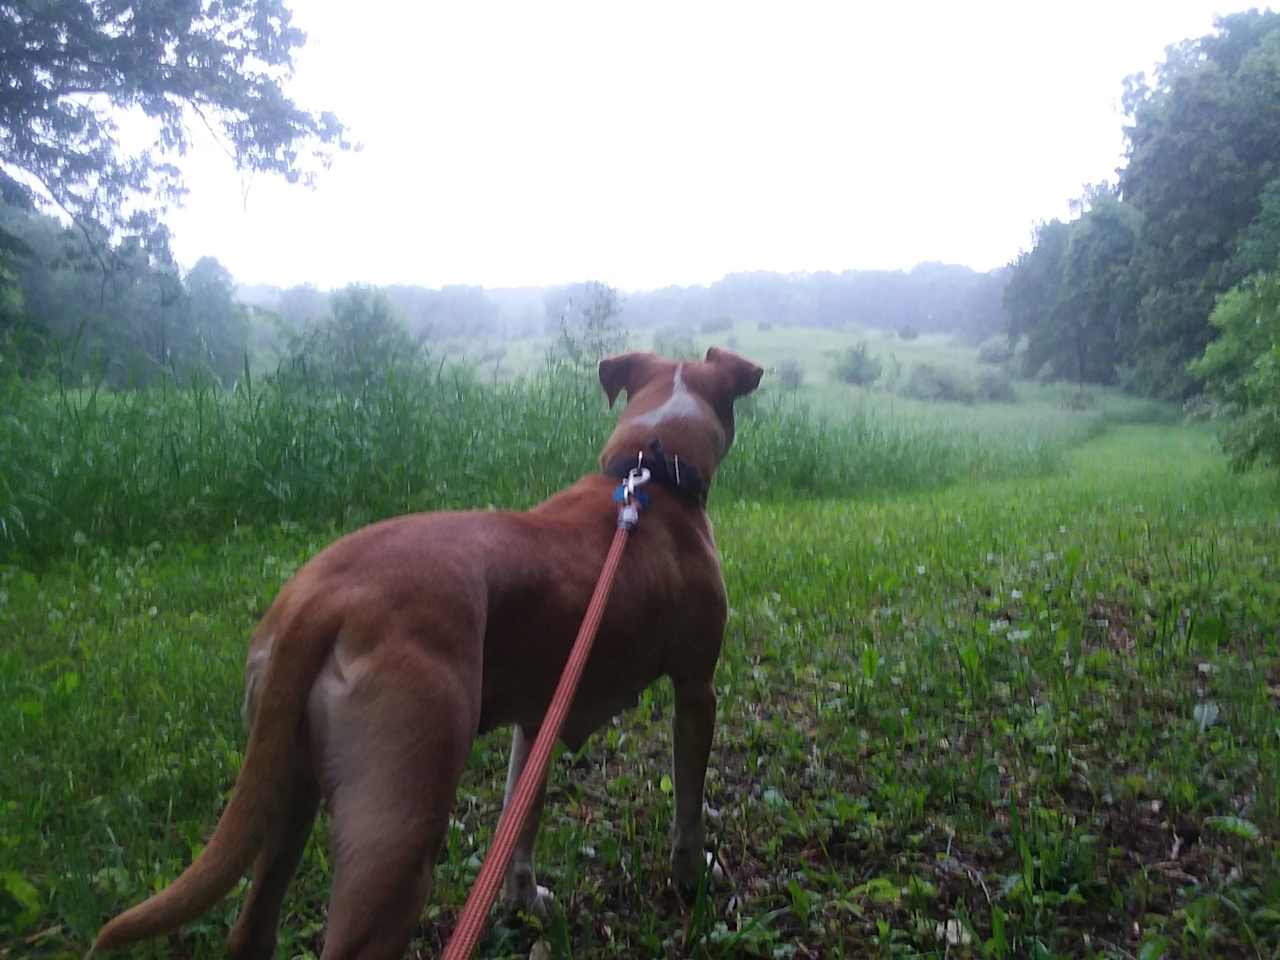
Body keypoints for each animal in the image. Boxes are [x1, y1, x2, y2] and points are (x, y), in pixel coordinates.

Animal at [94, 350, 762, 960]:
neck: (652, 476)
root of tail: (324, 599)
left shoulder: (536, 720)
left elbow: (522, 816)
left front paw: (523, 897)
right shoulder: (696, 690)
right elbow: (688, 801)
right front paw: (692, 874)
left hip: (286, 789)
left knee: (251, 929)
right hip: (397, 836)